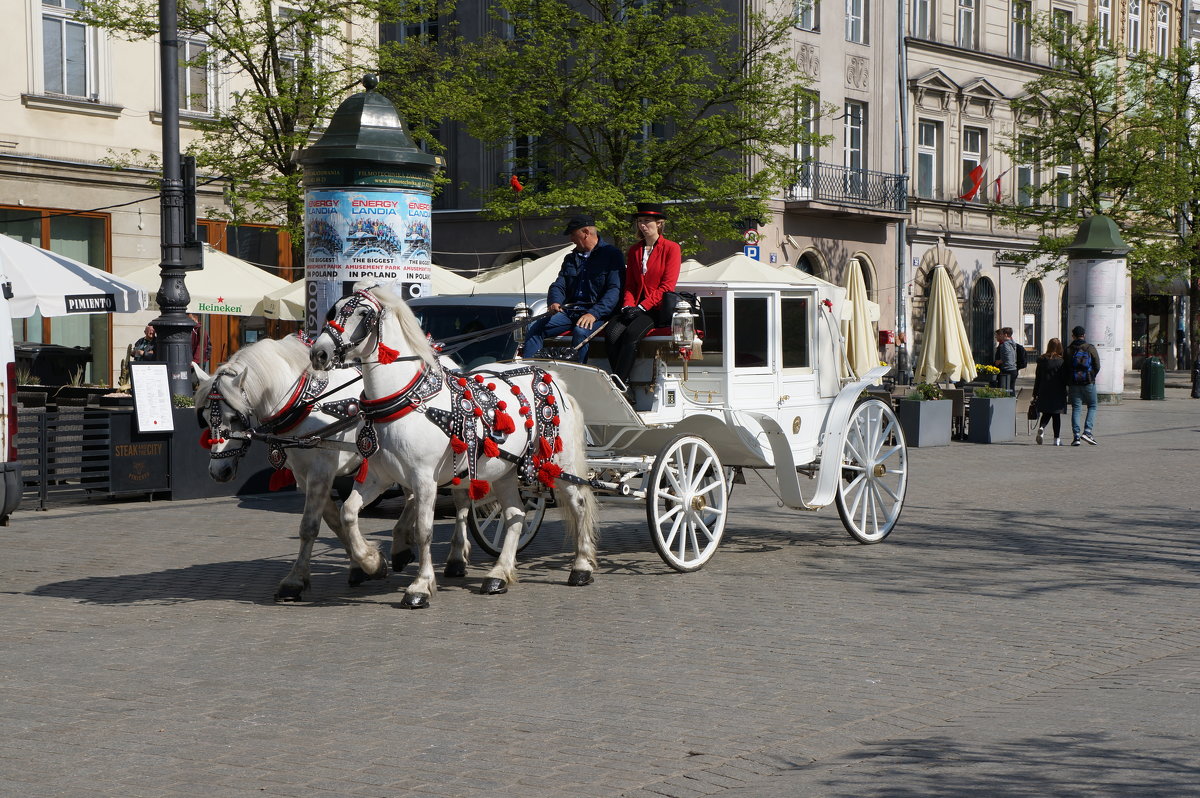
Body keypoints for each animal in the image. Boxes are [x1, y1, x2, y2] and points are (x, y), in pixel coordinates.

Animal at [192, 333, 468, 600]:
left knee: (460, 501)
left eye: (234, 417)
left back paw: (456, 558)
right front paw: (363, 565)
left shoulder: (321, 470)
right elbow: (334, 520)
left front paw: (295, 581)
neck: (304, 402)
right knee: (412, 495)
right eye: (204, 418)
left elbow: (309, 526)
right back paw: (401, 544)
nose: (219, 472)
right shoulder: (306, 476)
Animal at [304, 283, 595, 607]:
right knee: (515, 516)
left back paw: (581, 567)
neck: (406, 401)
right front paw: (372, 562)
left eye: (363, 314)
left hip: (559, 463)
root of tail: (551, 376)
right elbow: (348, 513)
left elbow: (424, 530)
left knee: (578, 504)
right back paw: (499, 574)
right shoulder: (379, 477)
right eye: (333, 310)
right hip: (505, 472)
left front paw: (420, 586)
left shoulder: (424, 480)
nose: (319, 353)